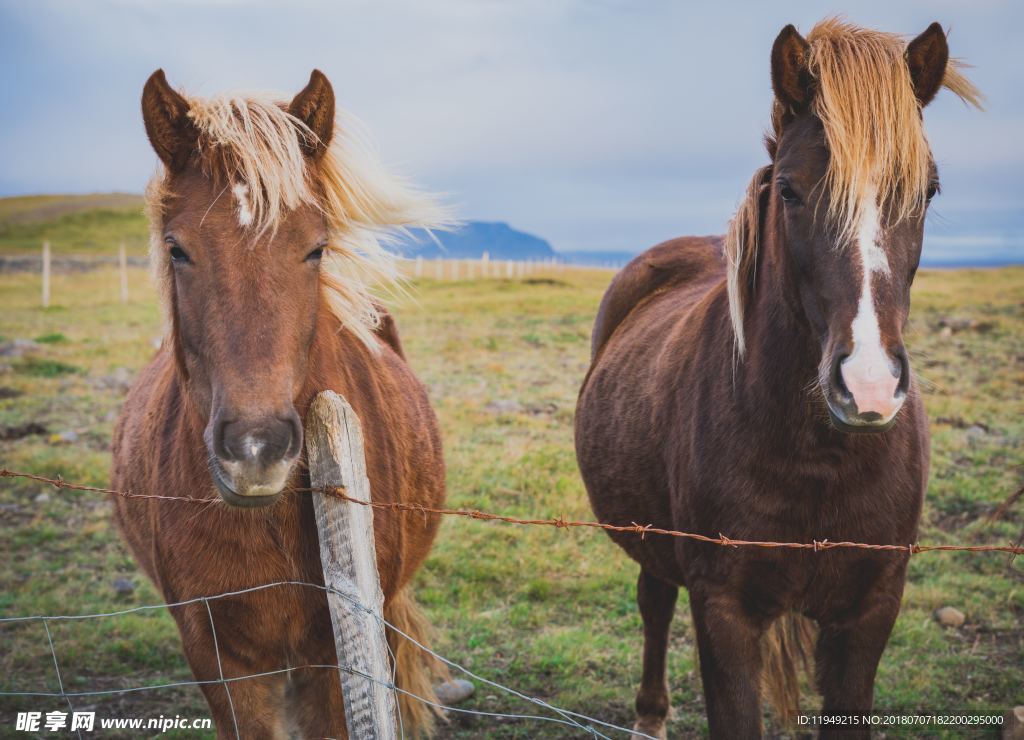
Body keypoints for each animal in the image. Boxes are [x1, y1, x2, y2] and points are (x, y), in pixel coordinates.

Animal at [577, 20, 983, 736]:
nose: (868, 385)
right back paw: (650, 717)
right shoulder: (724, 612)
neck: (817, 458)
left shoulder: (870, 610)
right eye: (789, 190)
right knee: (654, 601)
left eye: (928, 190)